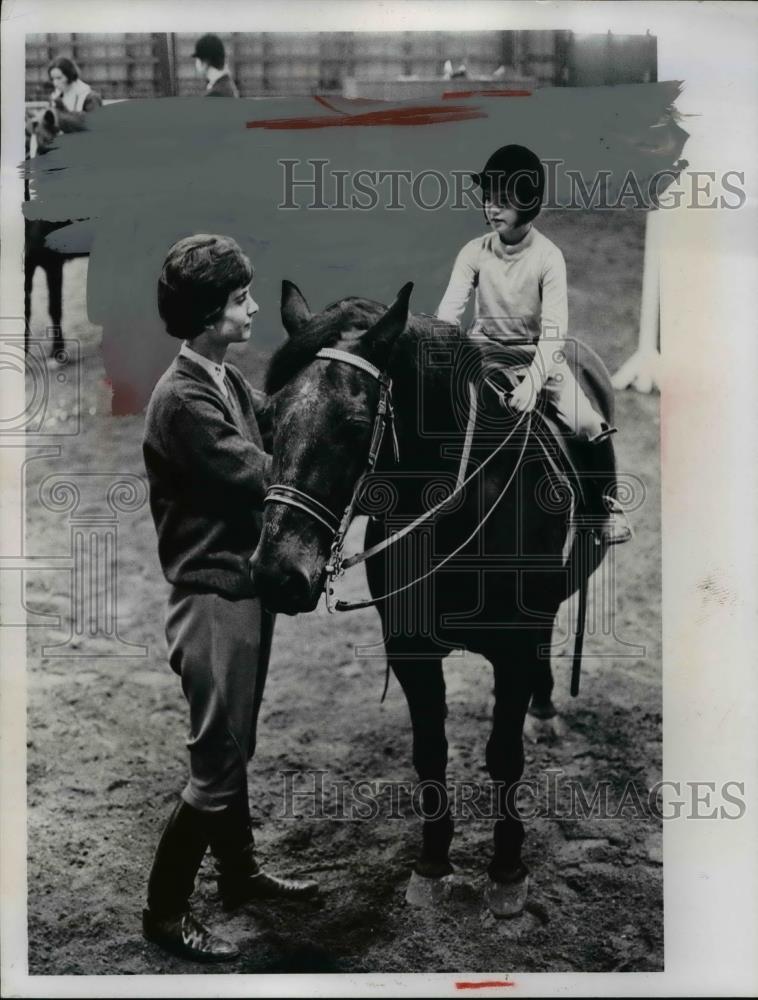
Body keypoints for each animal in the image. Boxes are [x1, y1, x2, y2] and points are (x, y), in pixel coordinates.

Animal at [252, 280, 616, 916]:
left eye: (354, 425)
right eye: (269, 420)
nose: (277, 572)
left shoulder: (514, 650)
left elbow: (504, 753)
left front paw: (506, 870)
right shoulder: (410, 649)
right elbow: (430, 751)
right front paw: (432, 863)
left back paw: (545, 711)